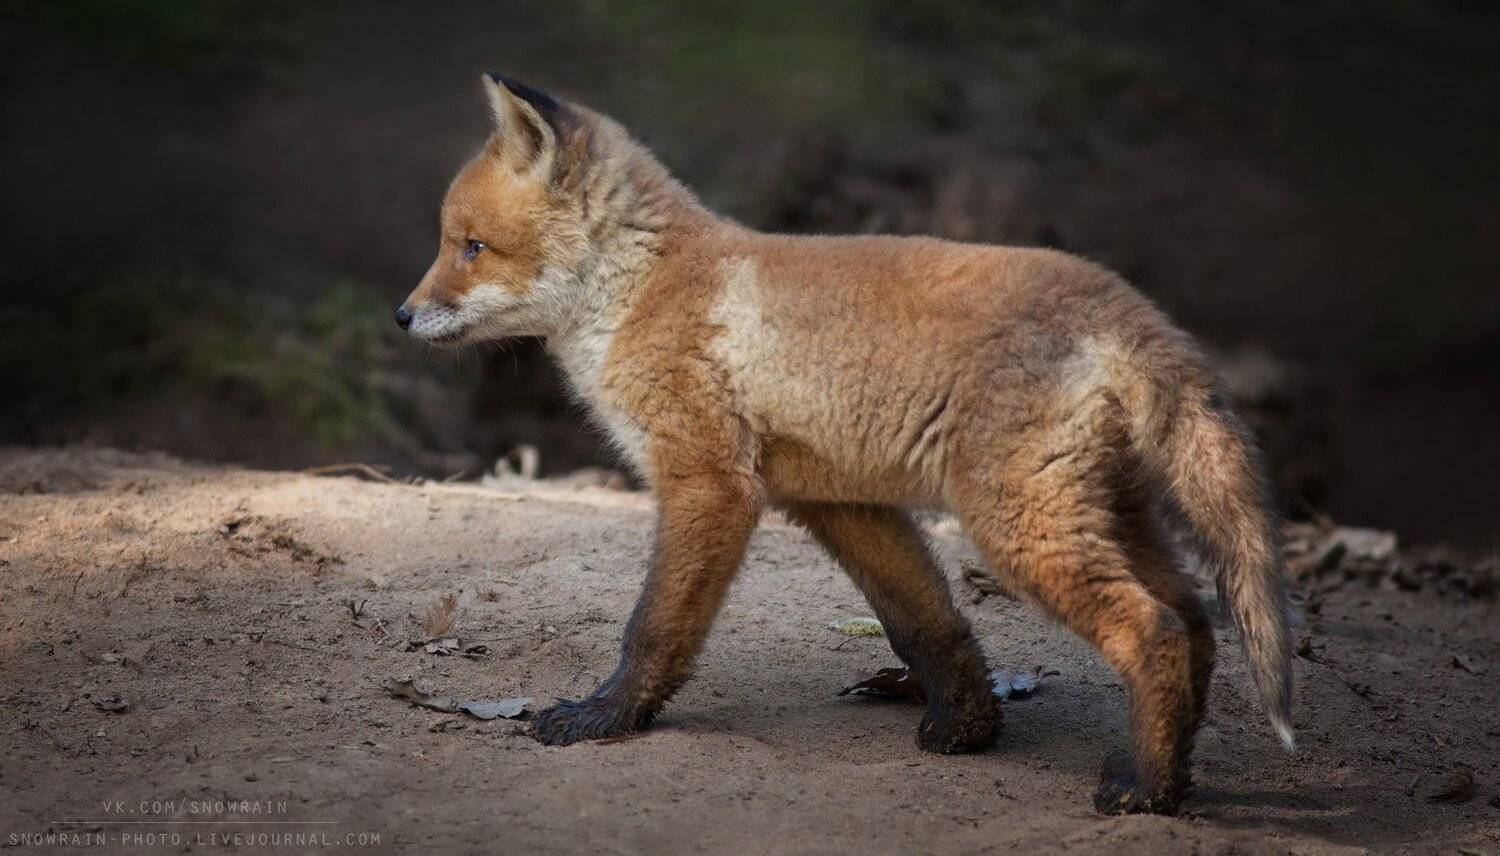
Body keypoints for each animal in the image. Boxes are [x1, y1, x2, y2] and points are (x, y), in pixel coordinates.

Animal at [396, 73, 1295, 815]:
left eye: (471, 246)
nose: (402, 316)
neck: (640, 289)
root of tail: (1130, 307)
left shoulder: (708, 481)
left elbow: (653, 626)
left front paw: (607, 715)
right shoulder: (835, 497)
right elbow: (924, 622)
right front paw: (968, 728)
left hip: (1019, 526)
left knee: (1154, 630)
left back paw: (1142, 790)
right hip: (1101, 514)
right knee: (1197, 622)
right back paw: (1172, 780)